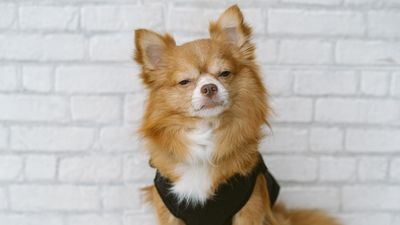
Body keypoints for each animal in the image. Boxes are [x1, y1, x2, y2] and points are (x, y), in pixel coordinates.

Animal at [134, 4, 340, 225]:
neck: (206, 135)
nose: (209, 87)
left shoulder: (249, 207)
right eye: (184, 82)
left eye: (224, 73)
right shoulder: (170, 213)